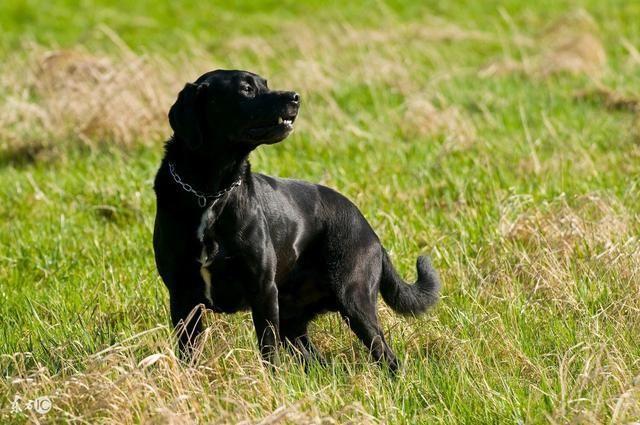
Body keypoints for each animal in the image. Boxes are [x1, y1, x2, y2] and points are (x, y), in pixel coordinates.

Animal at [154, 70, 440, 372]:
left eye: (265, 83)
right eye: (246, 89)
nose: (295, 97)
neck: (211, 193)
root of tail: (370, 231)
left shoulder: (264, 292)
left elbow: (268, 351)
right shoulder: (183, 297)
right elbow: (188, 352)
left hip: (354, 300)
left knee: (386, 355)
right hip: (294, 322)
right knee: (318, 361)